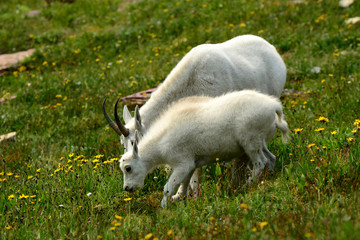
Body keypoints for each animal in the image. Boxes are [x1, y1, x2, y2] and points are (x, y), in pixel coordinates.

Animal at [119, 91, 288, 207]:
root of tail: (273, 107)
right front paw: (179, 198)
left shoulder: (182, 163)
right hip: (260, 141)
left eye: (128, 168)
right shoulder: (190, 164)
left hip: (251, 142)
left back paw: (245, 186)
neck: (161, 142)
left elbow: (168, 187)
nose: (127, 188)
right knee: (271, 158)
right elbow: (184, 183)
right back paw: (265, 179)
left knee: (260, 162)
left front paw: (164, 206)